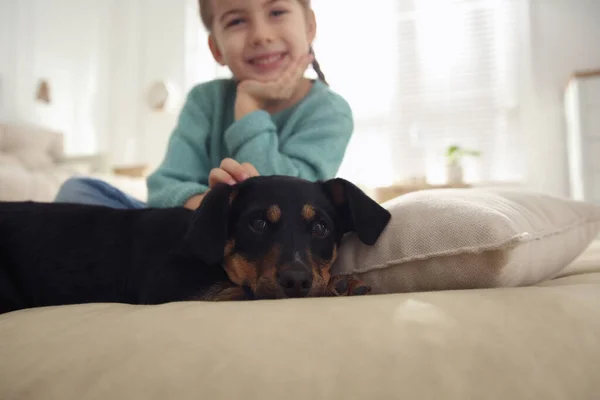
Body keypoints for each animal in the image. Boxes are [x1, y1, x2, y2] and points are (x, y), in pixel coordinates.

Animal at [0, 177, 390, 314]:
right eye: (258, 223)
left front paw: (342, 283)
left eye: (322, 228)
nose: (297, 281)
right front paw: (338, 285)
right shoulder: (164, 286)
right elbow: (239, 290)